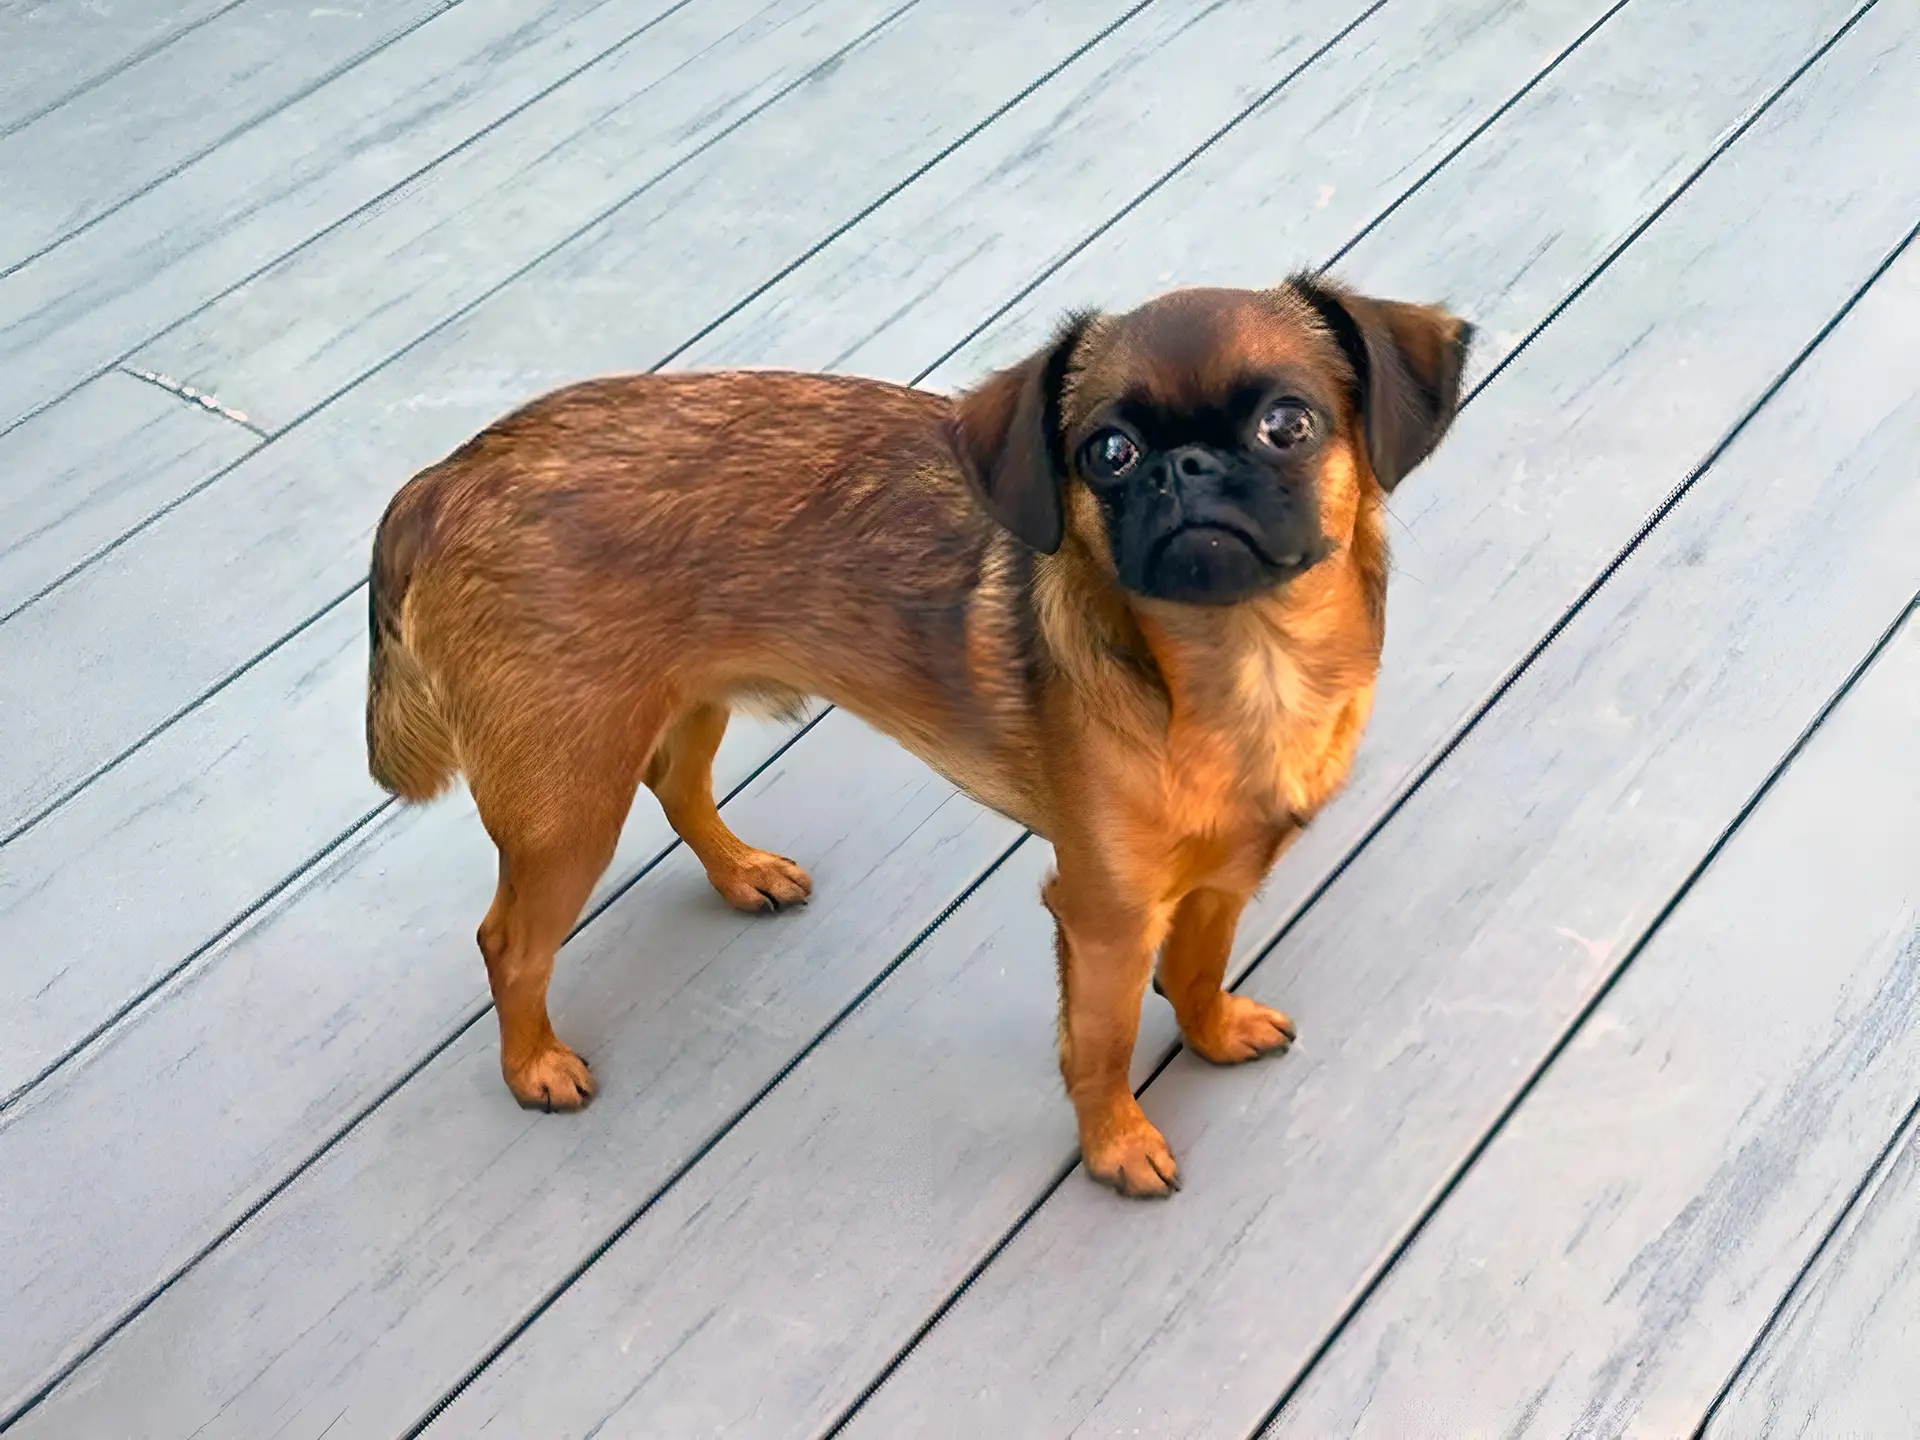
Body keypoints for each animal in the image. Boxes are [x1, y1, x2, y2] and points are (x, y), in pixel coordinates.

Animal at [360, 276, 1466, 1198]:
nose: (1186, 468)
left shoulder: (1227, 875)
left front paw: (1213, 1033)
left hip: (678, 699)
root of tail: (441, 482)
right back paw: (532, 1065)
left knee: (677, 785)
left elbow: (1195, 969)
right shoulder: (1102, 916)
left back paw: (742, 872)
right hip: (568, 807)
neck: (1244, 664)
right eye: (1107, 453)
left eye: (1288, 424)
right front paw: (1115, 1143)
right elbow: (1099, 1046)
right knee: (510, 942)